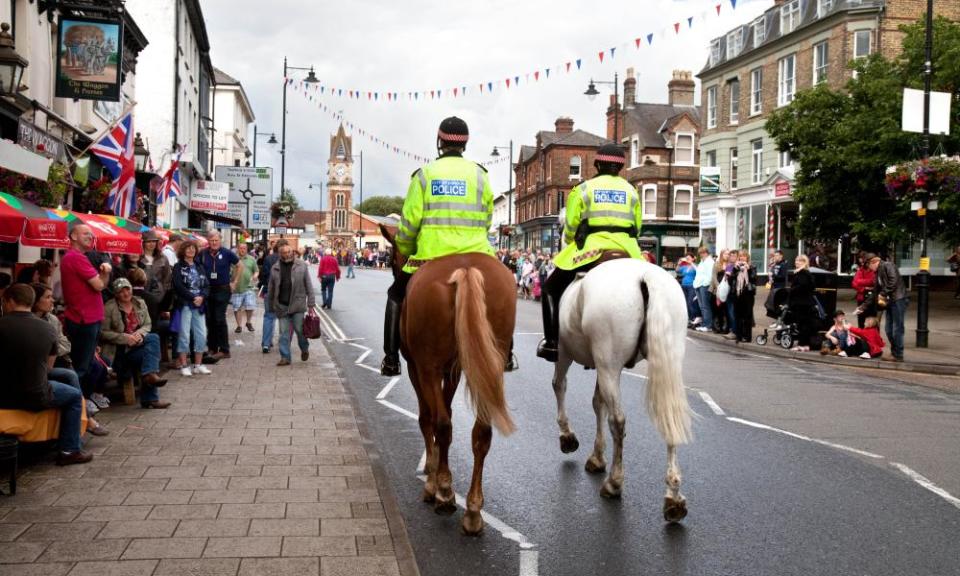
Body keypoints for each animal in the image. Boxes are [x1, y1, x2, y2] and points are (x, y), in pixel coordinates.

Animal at [380, 225, 516, 536]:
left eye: (392, 256)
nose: (395, 270)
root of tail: (465, 268)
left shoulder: (418, 368)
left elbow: (427, 418)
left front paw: (432, 479)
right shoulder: (452, 370)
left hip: (428, 366)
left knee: (441, 423)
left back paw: (443, 492)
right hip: (489, 365)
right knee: (481, 432)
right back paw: (474, 511)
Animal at [552, 258, 692, 520]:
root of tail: (646, 276)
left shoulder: (565, 352)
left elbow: (560, 386)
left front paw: (567, 437)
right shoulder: (599, 365)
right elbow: (598, 403)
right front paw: (597, 457)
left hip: (609, 362)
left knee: (617, 421)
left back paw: (614, 483)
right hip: (667, 360)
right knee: (670, 417)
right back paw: (674, 498)